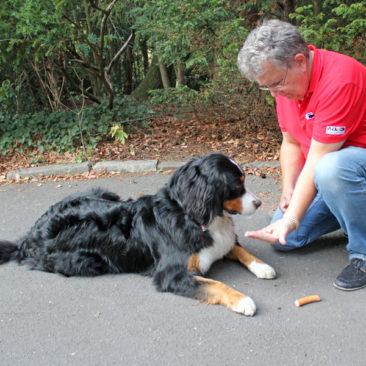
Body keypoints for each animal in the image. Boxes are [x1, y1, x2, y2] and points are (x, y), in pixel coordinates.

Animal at [0, 153, 274, 316]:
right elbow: (217, 284)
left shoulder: (222, 243)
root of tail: (29, 236)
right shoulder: (171, 274)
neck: (196, 216)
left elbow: (240, 249)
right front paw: (242, 300)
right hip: (84, 261)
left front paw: (263, 266)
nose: (259, 202)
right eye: (236, 186)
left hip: (104, 193)